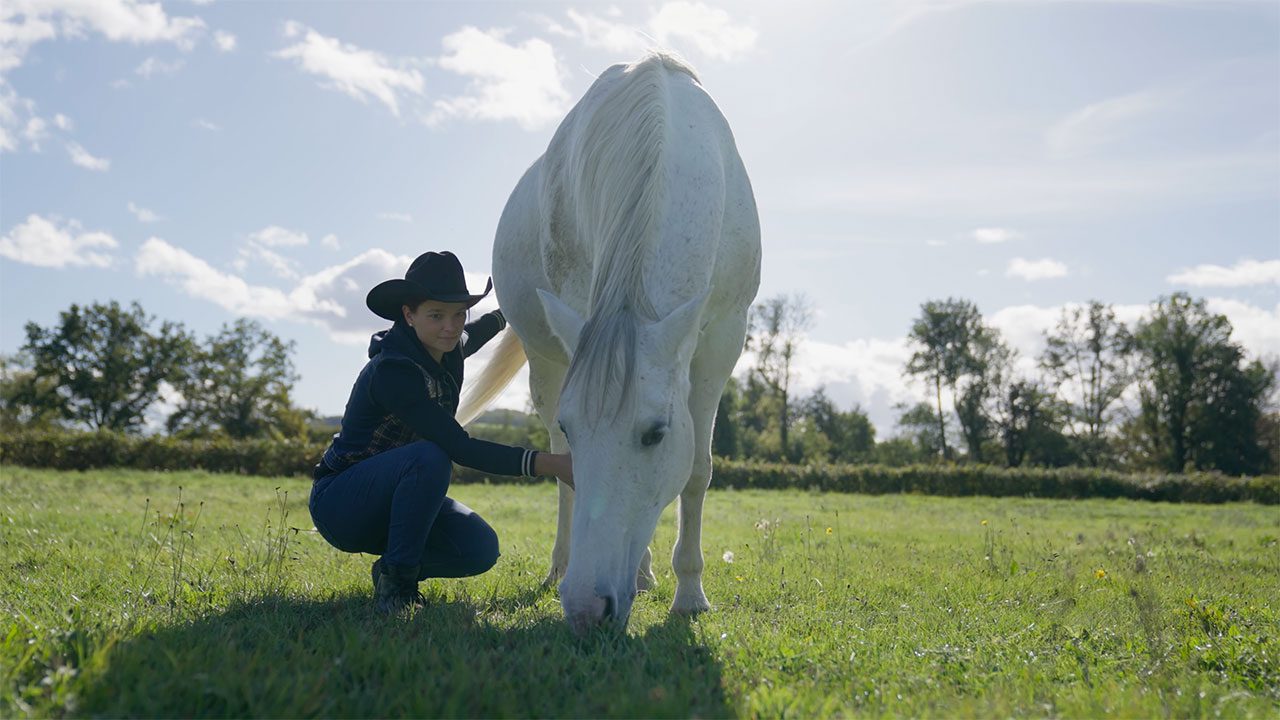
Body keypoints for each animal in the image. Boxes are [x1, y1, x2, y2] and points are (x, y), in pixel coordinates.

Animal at [457, 52, 760, 633]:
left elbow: (697, 470)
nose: (585, 609)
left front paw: (690, 594)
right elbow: (570, 471)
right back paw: (566, 566)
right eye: (575, 428)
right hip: (545, 362)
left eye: (655, 434)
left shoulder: (723, 338)